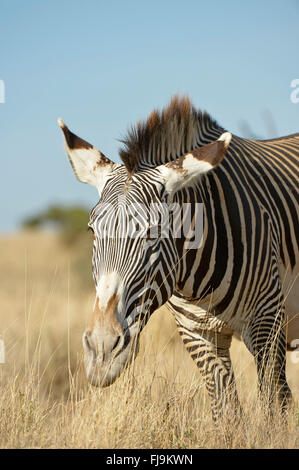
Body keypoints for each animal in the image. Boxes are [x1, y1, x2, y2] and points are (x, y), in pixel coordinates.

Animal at [57, 96, 298, 422]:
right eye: (92, 231)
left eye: (153, 234)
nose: (101, 351)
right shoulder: (198, 335)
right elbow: (226, 414)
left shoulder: (268, 322)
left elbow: (276, 409)